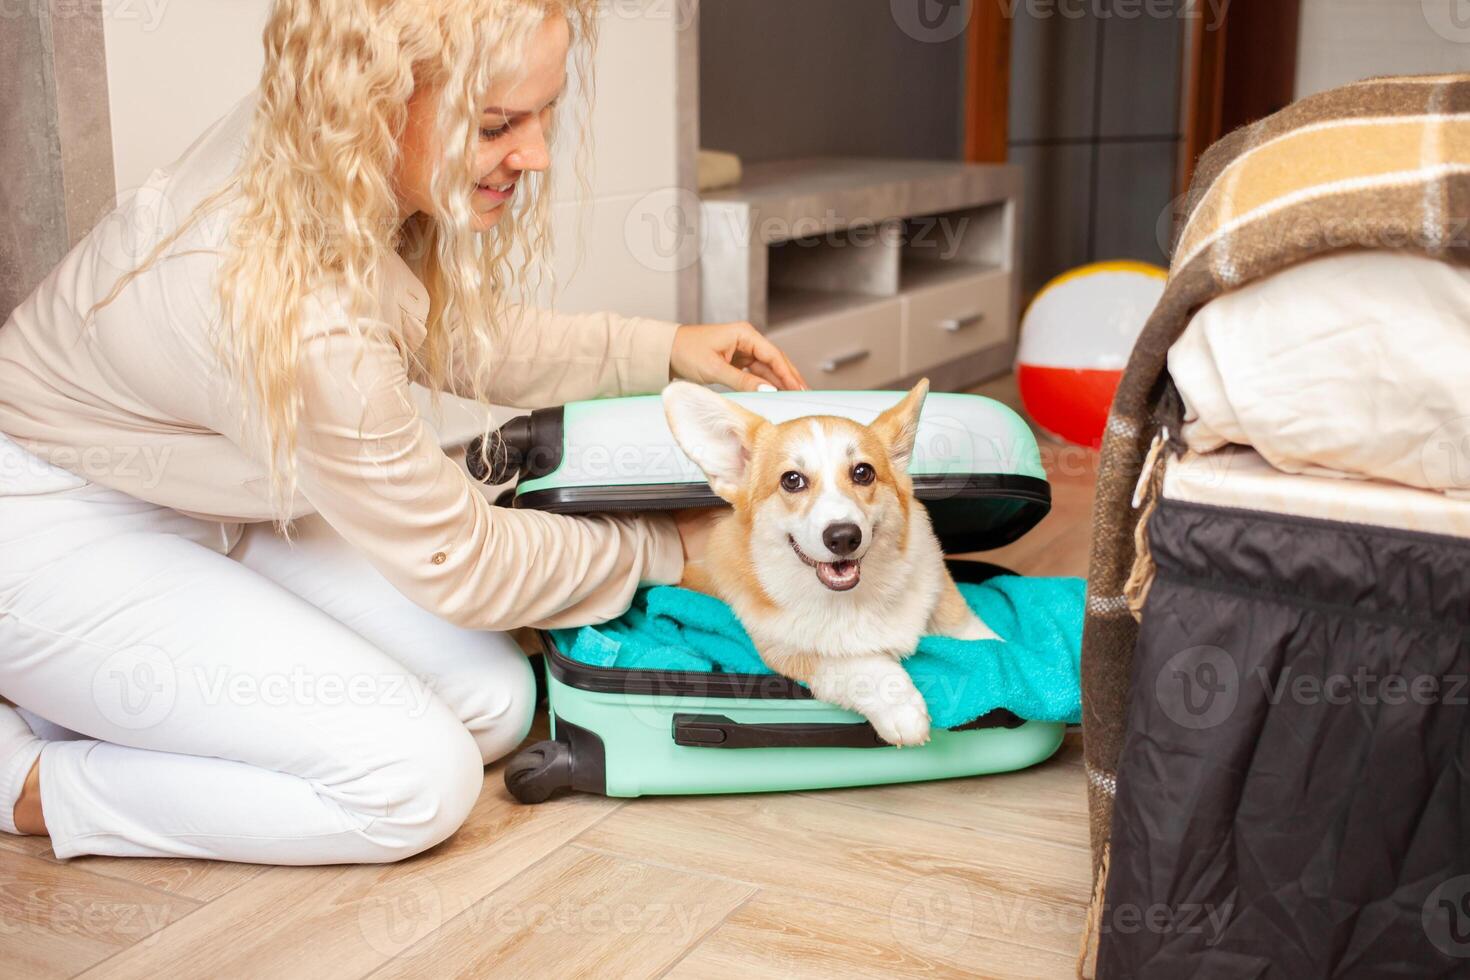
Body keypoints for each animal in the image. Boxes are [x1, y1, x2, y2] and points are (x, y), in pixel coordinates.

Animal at [658, 379, 993, 743]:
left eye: (863, 473)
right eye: (791, 480)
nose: (844, 536)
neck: (856, 599)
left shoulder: (942, 594)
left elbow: (978, 635)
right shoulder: (788, 649)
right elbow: (857, 665)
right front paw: (902, 709)